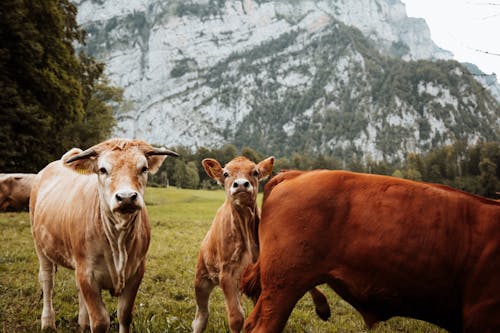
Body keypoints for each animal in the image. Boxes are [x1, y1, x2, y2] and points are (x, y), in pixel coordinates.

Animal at [29, 138, 178, 332]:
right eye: (102, 169)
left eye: (144, 168)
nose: (126, 197)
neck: (118, 239)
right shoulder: (87, 273)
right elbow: (100, 321)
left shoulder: (136, 272)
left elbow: (124, 315)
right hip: (41, 246)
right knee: (47, 280)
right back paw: (47, 322)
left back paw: (83, 321)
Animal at [193, 156, 330, 332]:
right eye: (225, 173)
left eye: (255, 172)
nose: (241, 184)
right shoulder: (227, 273)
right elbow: (236, 318)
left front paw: (322, 306)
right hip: (202, 279)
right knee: (202, 314)